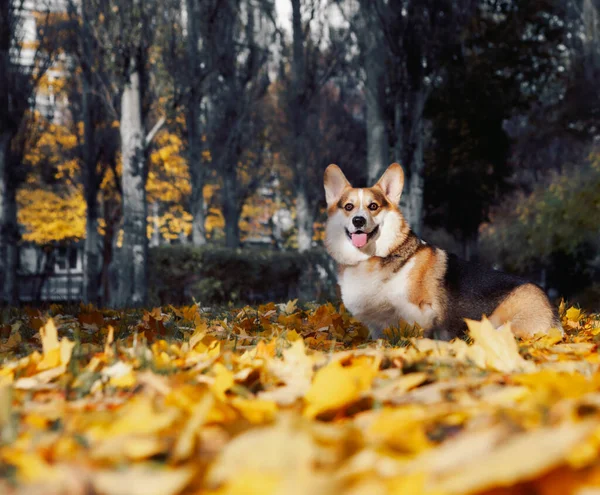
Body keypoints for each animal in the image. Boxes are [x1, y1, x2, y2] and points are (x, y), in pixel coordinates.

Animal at [324, 163, 564, 340]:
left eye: (373, 206)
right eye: (348, 207)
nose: (358, 220)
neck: (371, 257)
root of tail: (553, 313)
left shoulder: (419, 316)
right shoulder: (376, 328)